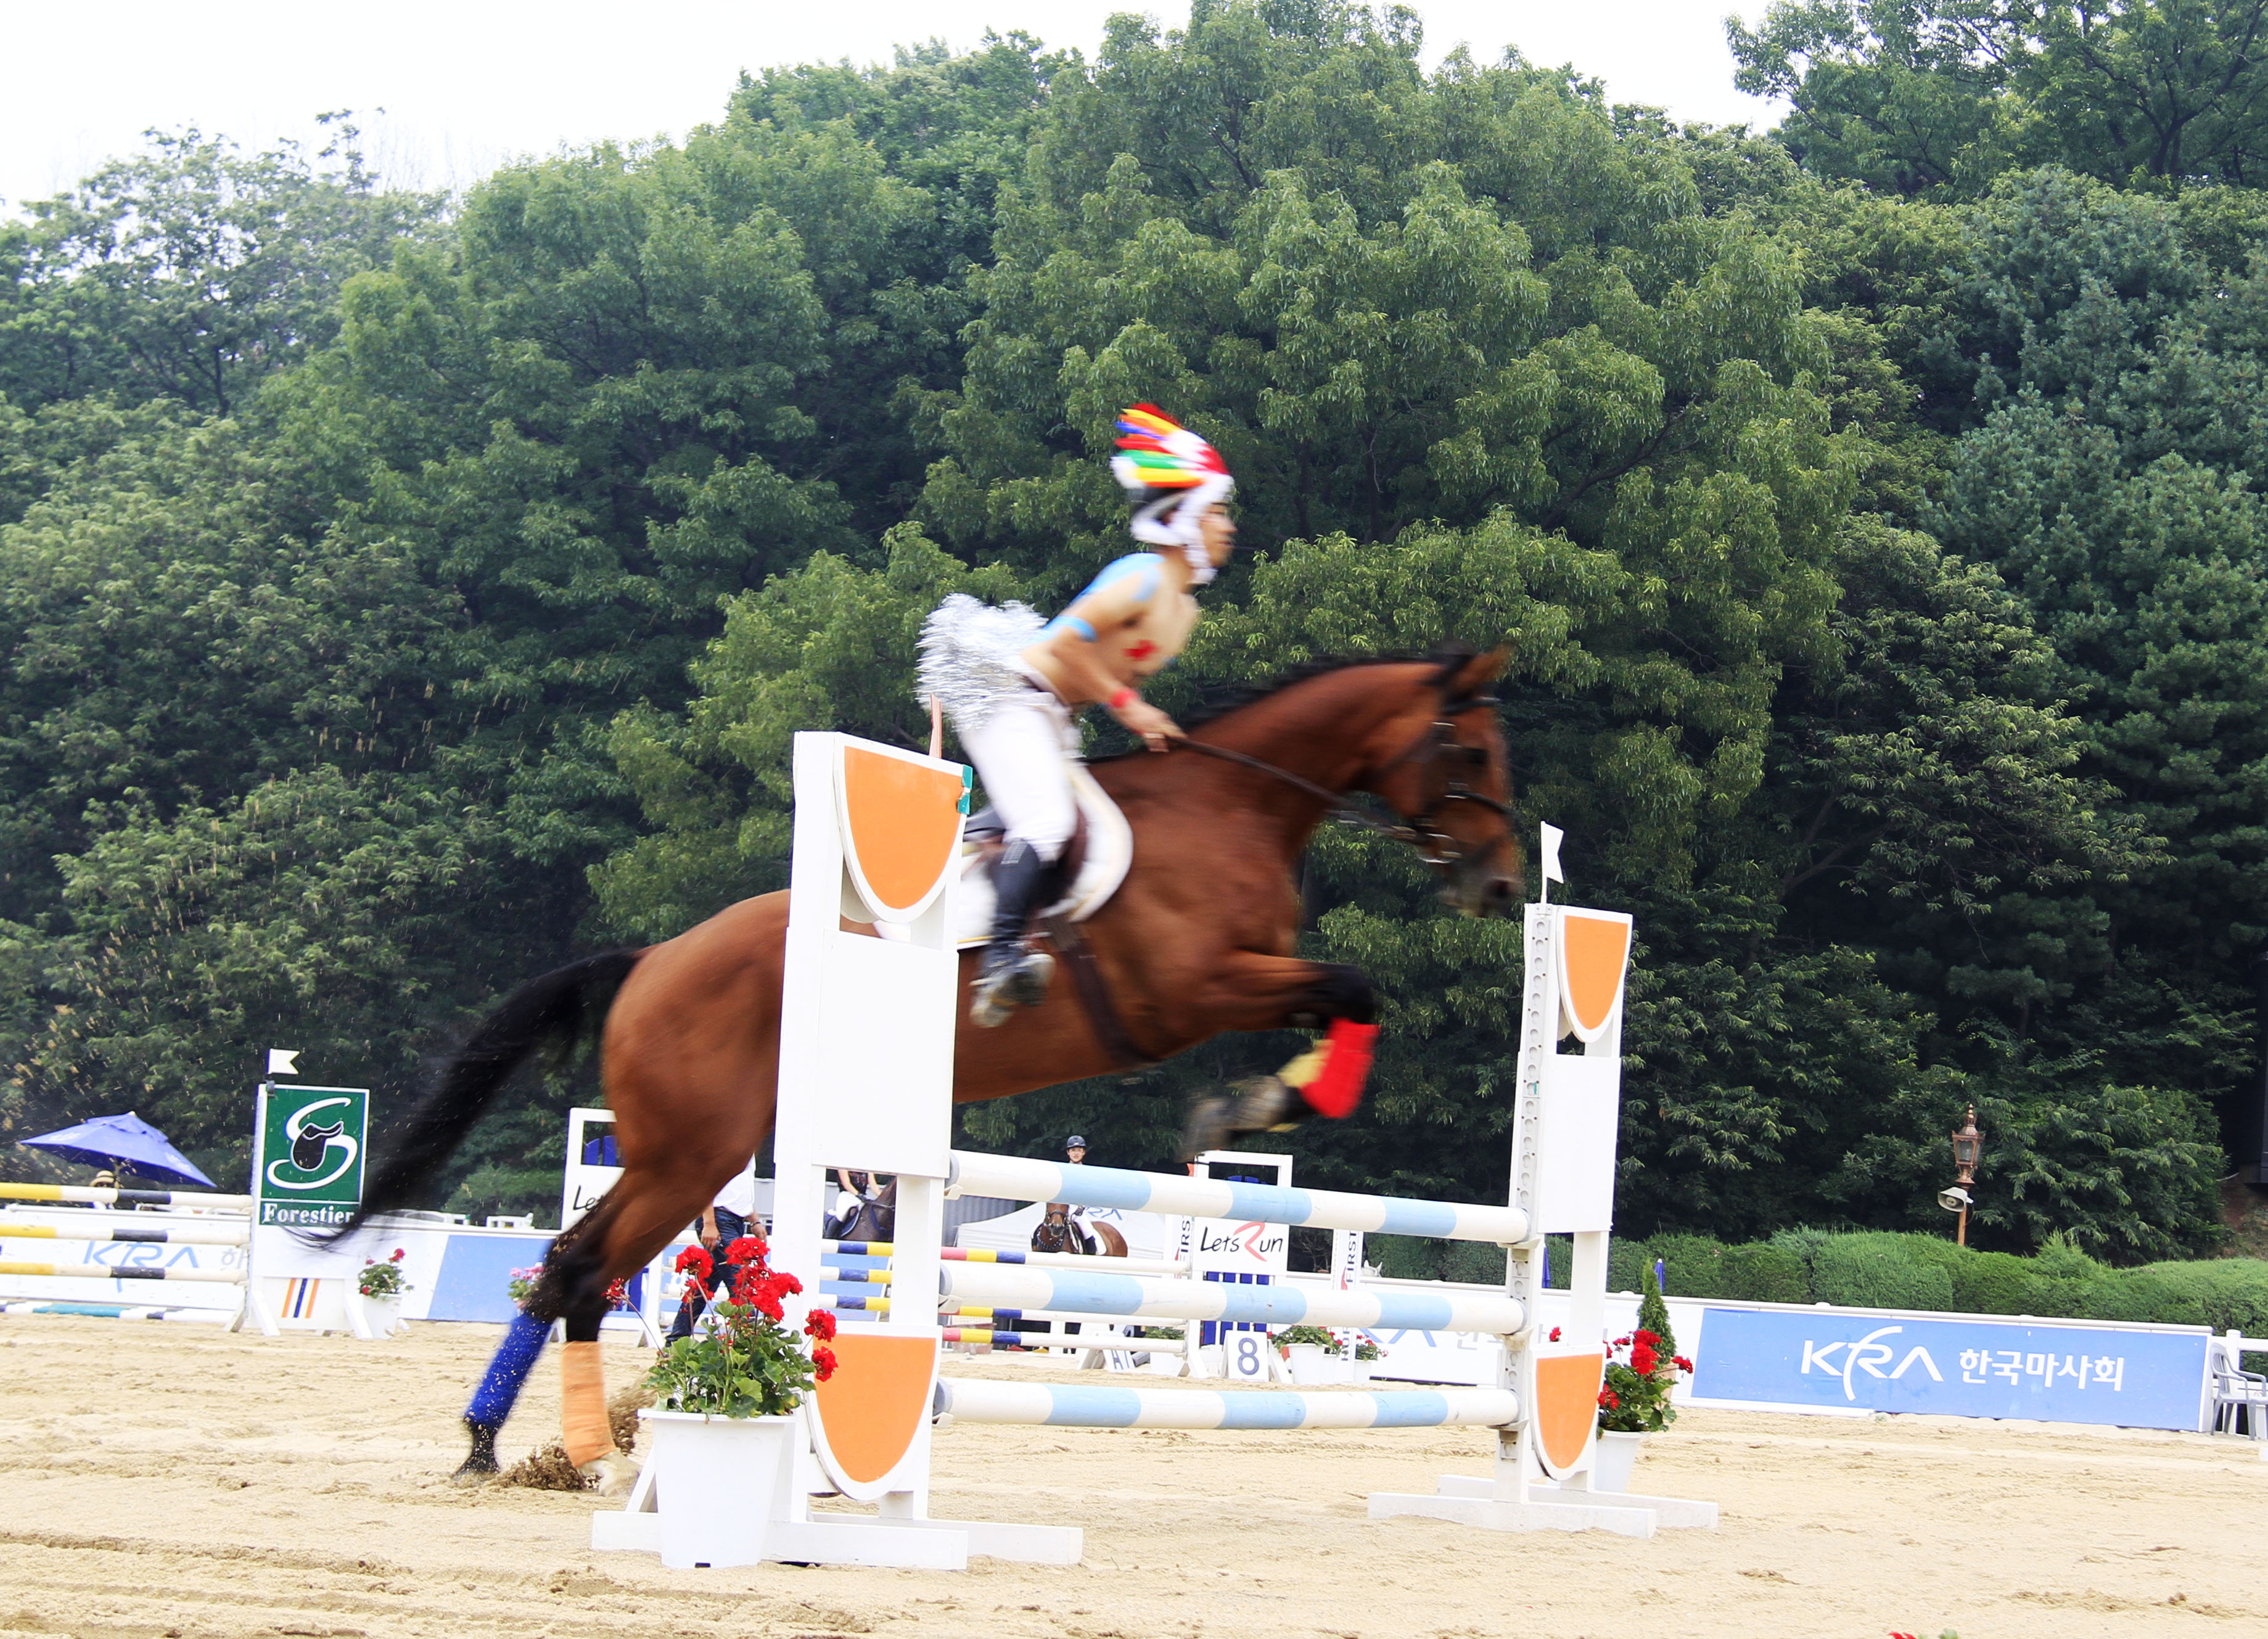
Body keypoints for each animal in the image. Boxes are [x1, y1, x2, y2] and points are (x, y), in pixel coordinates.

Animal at [330, 647, 1520, 1478]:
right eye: (1468, 753)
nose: (1503, 883)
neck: (1234, 809)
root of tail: (653, 959)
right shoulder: (1192, 988)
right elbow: (1352, 984)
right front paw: (1252, 1105)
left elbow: (1347, 993)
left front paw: (1278, 1095)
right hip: (689, 1151)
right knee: (583, 1267)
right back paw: (548, 1447)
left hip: (687, 1153)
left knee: (574, 1262)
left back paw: (515, 1446)